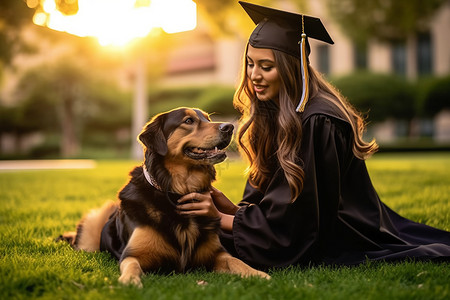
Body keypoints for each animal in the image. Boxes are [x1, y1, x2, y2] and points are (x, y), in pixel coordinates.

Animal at [60, 108, 270, 288]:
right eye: (188, 121)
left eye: (208, 119)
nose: (229, 127)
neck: (176, 193)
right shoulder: (133, 254)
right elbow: (131, 265)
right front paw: (130, 281)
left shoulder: (216, 254)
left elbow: (235, 260)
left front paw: (258, 274)